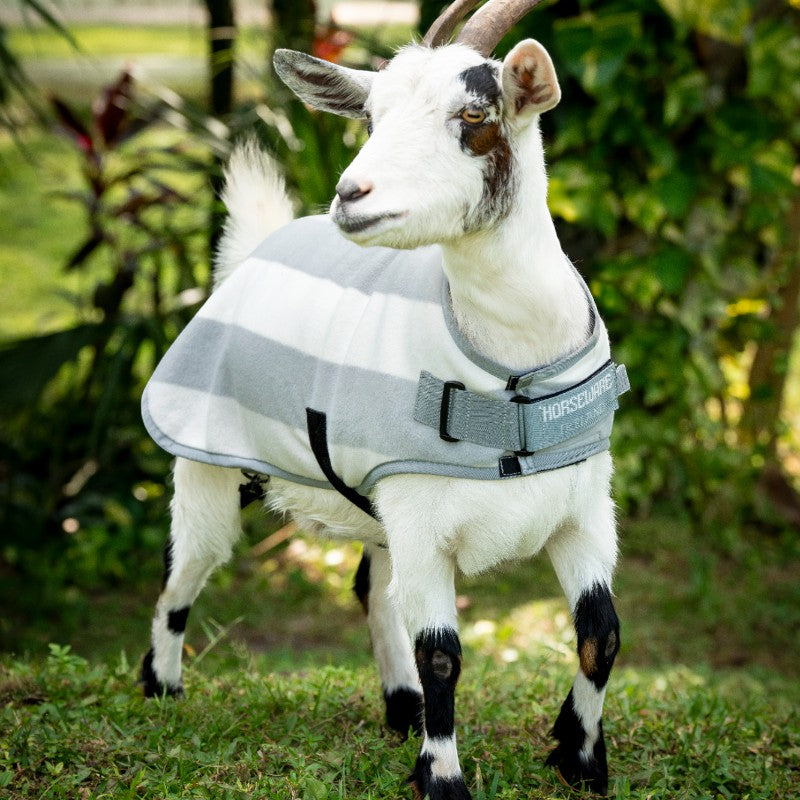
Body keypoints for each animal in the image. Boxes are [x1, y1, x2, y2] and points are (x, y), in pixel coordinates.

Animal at [140, 1, 628, 797]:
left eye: (475, 113)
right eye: (371, 116)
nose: (350, 195)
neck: (511, 375)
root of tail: (250, 256)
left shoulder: (583, 510)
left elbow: (601, 634)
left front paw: (581, 757)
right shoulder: (425, 523)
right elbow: (444, 655)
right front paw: (444, 777)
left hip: (376, 502)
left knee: (374, 588)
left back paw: (400, 707)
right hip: (206, 460)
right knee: (184, 567)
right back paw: (162, 688)